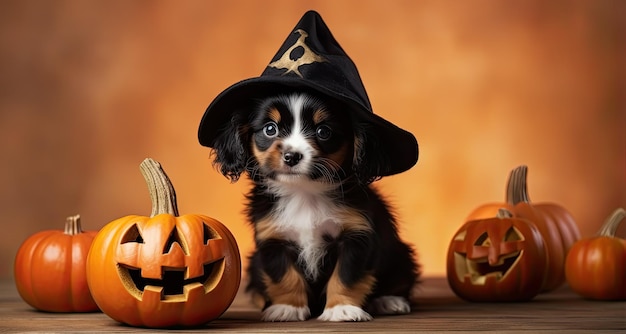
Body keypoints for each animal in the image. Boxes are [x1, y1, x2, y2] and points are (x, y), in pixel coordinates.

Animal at [210, 91, 420, 320]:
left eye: (323, 131)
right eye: (270, 129)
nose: (292, 156)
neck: (305, 192)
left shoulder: (357, 236)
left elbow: (346, 276)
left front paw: (341, 309)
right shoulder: (274, 239)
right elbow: (285, 277)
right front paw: (287, 307)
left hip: (400, 256)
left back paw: (388, 300)